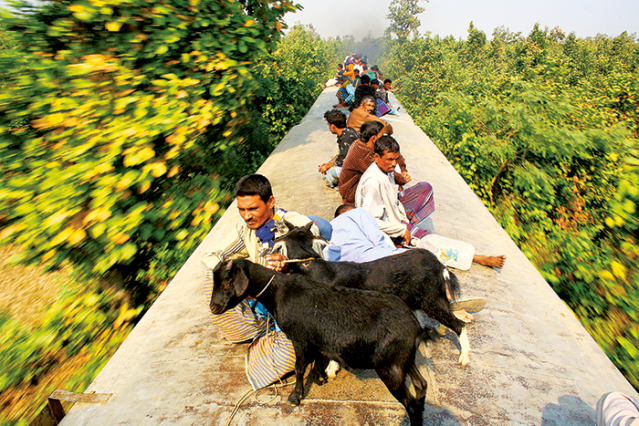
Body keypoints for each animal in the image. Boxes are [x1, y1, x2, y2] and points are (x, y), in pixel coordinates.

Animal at [212, 258, 432, 424]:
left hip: (390, 367)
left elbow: (300, 368)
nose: (213, 308)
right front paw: (320, 378)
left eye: (226, 283)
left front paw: (295, 396)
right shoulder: (315, 339)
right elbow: (318, 359)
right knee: (421, 385)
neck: (278, 293)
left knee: (411, 405)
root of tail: (415, 326)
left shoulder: (300, 339)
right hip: (404, 360)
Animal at [272, 221, 472, 364]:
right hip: (417, 300)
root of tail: (440, 265)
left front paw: (331, 368)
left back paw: (464, 357)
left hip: (431, 299)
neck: (313, 268)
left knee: (458, 324)